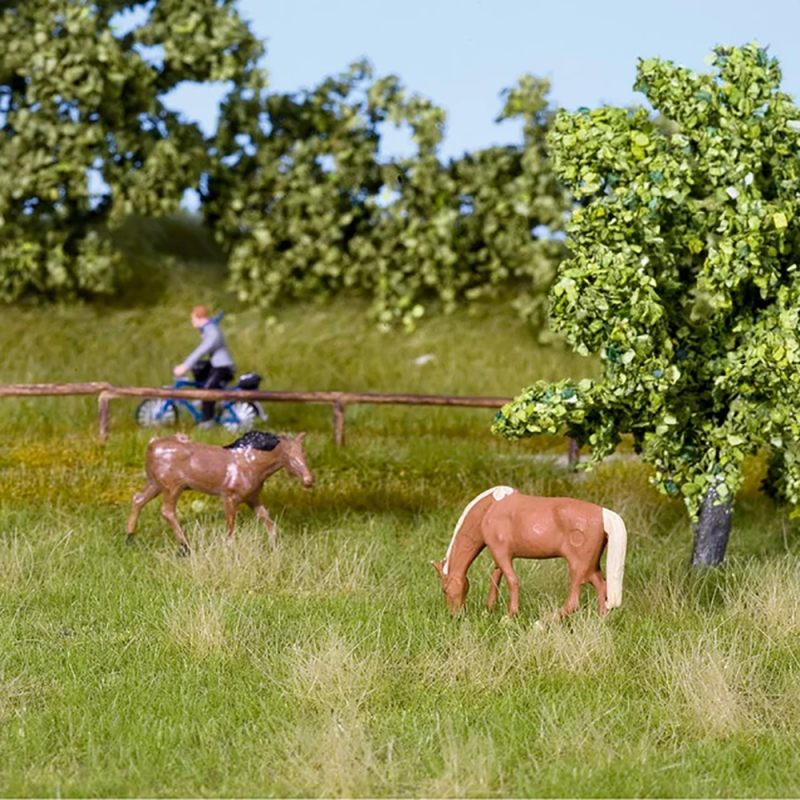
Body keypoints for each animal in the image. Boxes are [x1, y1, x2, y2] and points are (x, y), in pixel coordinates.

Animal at [126, 428, 314, 552]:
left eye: (304, 455)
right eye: (290, 458)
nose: (309, 481)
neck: (250, 462)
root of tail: (153, 444)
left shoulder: (252, 499)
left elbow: (265, 517)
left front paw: (275, 544)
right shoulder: (230, 498)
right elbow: (231, 525)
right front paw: (229, 549)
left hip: (155, 485)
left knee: (137, 499)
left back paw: (130, 538)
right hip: (172, 488)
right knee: (167, 511)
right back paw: (185, 547)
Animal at [432, 488, 624, 620]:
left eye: (444, 589)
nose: (455, 616)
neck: (489, 509)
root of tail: (604, 513)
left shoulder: (501, 553)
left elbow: (511, 580)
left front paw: (508, 617)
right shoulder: (499, 556)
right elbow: (495, 577)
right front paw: (488, 610)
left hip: (578, 566)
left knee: (574, 601)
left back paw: (542, 623)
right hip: (590, 566)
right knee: (601, 585)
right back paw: (601, 620)